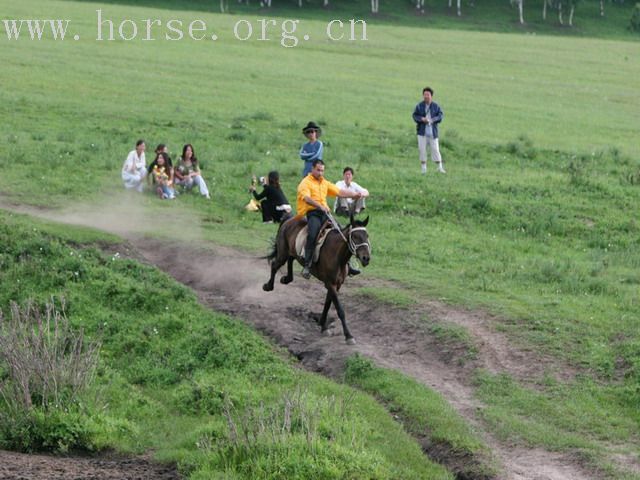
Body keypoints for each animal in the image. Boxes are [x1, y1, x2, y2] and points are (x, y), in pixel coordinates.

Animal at [260, 215, 370, 344]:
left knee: (291, 260)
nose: (366, 258)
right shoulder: (330, 283)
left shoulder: (337, 285)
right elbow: (339, 309)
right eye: (355, 236)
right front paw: (348, 336)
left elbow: (328, 304)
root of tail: (289, 219)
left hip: (291, 252)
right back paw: (268, 286)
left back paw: (286, 279)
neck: (337, 256)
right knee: (274, 265)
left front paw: (323, 325)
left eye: (367, 236)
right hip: (283, 253)